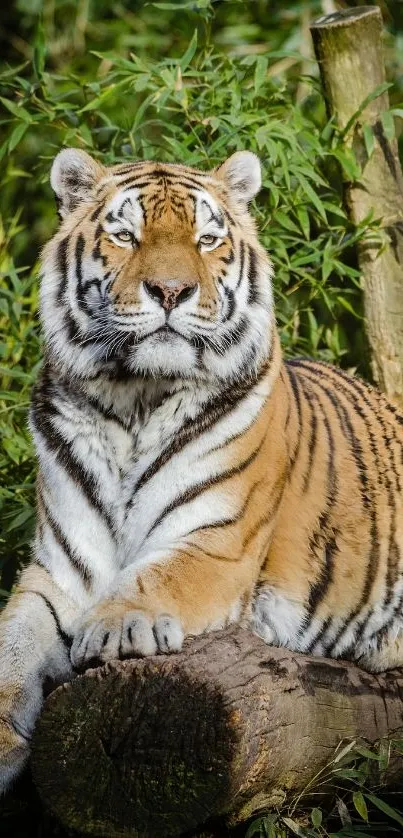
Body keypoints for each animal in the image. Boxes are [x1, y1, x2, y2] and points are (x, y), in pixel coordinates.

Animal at [0, 144, 403, 796]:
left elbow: (155, 577)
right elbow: (11, 646)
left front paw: (116, 626)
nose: (171, 290)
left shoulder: (216, 544)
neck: (133, 401)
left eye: (207, 238)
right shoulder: (59, 571)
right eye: (125, 235)